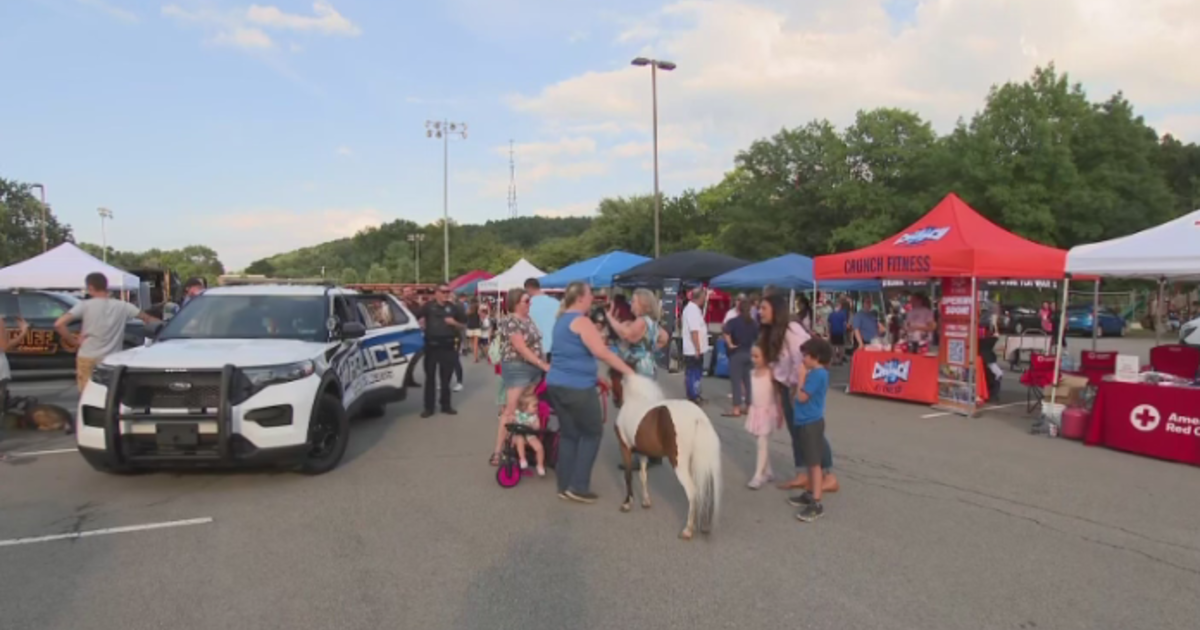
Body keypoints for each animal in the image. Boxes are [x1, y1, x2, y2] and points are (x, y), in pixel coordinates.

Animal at [614, 374, 715, 540]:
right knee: (704, 489)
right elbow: (643, 475)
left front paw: (627, 503)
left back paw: (688, 530)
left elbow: (628, 476)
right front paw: (646, 501)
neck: (634, 399)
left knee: (693, 492)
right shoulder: (643, 452)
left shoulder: (625, 448)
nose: (615, 402)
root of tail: (697, 418)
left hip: (679, 464)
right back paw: (705, 526)